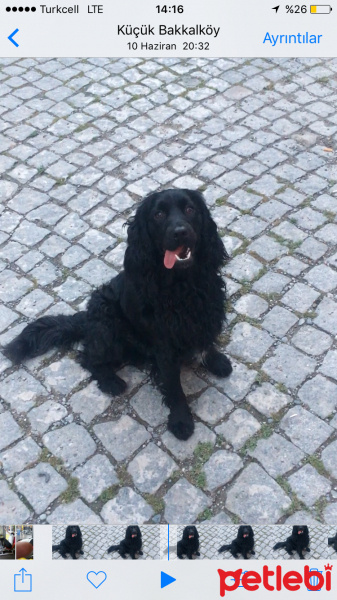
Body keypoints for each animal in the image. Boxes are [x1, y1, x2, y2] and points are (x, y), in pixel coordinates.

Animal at [5, 190, 231, 442]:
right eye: (159, 214)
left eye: (190, 209)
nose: (180, 232)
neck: (184, 286)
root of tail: (87, 317)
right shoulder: (164, 347)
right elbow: (174, 387)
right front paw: (181, 420)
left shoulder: (207, 315)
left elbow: (206, 343)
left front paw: (215, 360)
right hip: (108, 326)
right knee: (88, 357)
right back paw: (111, 381)